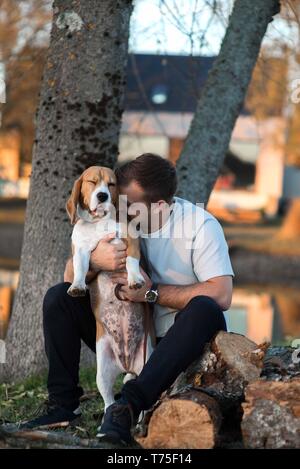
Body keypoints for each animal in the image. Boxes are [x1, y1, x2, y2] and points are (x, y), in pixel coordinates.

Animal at [66, 166, 154, 414]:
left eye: (111, 184)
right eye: (92, 182)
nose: (102, 196)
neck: (98, 222)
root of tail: (127, 363)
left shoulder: (130, 240)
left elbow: (132, 262)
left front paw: (134, 280)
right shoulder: (81, 250)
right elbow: (80, 268)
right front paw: (77, 286)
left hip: (148, 363)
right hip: (102, 372)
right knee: (108, 401)